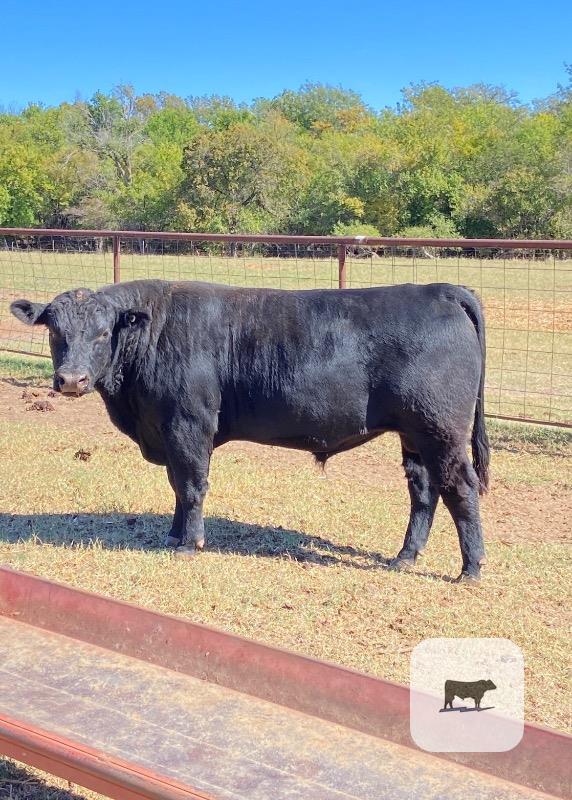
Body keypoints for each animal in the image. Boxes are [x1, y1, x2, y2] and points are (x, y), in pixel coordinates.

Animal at [10, 279, 490, 581]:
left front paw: (190, 544)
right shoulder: (169, 430)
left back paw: (470, 569)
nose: (71, 380)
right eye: (55, 331)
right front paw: (172, 534)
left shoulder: (189, 424)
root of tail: (440, 290)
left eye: (102, 333)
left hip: (441, 430)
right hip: (415, 435)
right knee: (424, 490)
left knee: (460, 487)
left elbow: (191, 485)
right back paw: (405, 557)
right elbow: (176, 485)